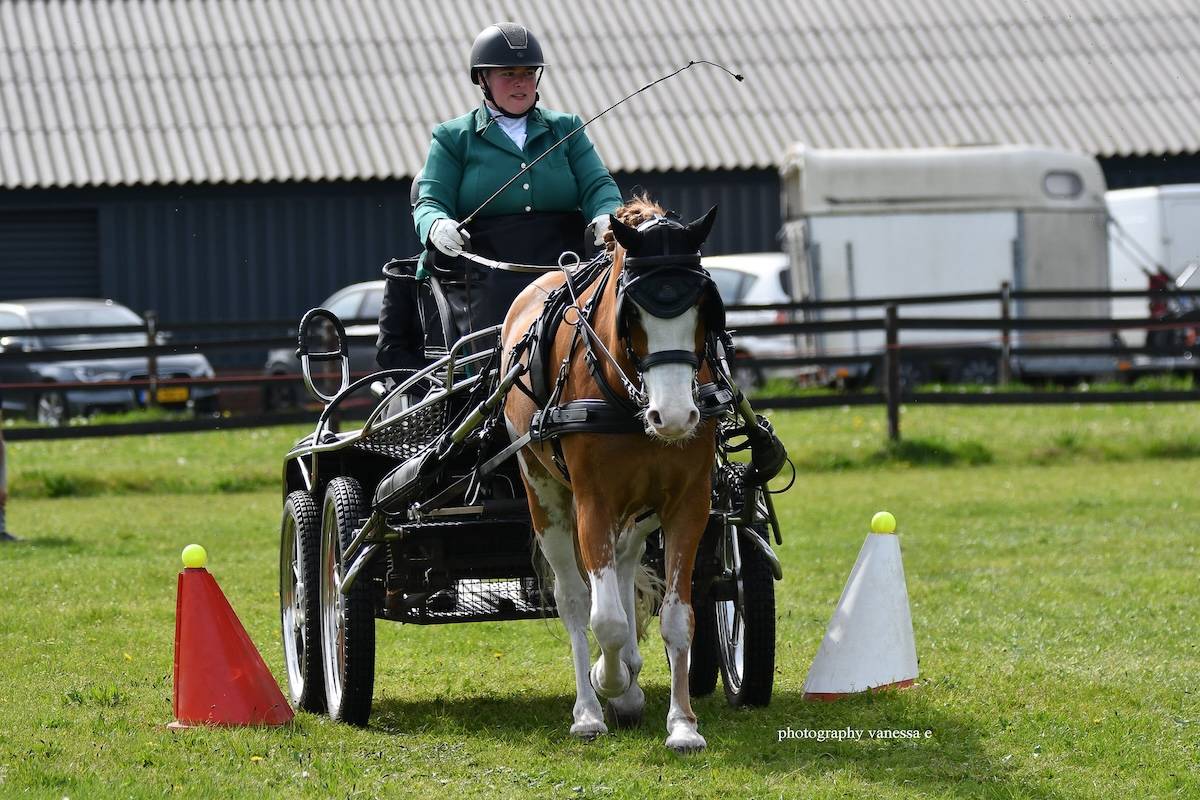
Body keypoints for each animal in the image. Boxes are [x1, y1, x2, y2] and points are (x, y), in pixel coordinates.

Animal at [499, 196, 720, 753]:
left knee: (623, 563)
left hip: (639, 511)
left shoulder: (688, 504)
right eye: (631, 311)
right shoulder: (592, 504)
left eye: (704, 308)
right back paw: (589, 709)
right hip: (545, 497)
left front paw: (682, 724)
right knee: (575, 601)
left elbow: (678, 618)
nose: (675, 417)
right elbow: (607, 621)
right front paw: (609, 682)